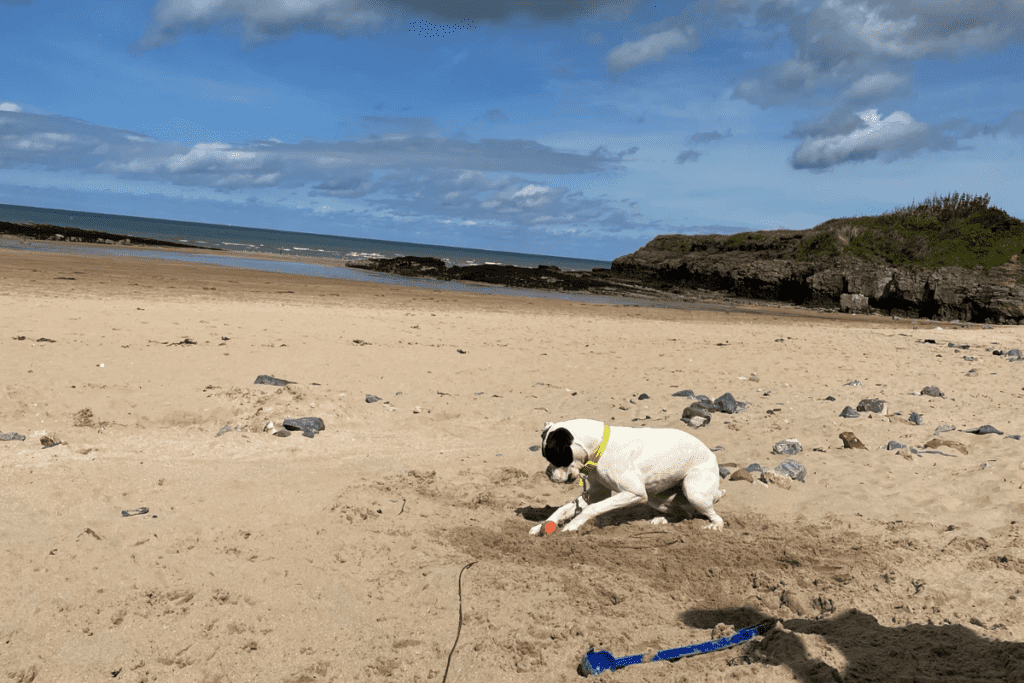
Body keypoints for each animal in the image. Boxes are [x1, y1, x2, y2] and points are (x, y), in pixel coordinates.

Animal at [532, 419, 724, 536]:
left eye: (555, 456)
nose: (547, 473)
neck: (600, 447)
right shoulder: (596, 493)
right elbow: (563, 509)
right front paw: (541, 525)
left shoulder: (634, 493)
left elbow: (592, 509)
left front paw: (573, 526)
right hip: (657, 499)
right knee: (687, 514)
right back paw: (662, 520)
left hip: (694, 493)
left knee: (714, 516)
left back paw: (715, 525)